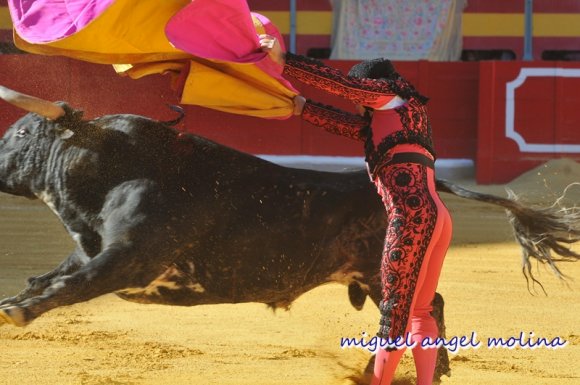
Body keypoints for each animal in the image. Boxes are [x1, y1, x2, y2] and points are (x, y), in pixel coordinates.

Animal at [0, 98, 576, 378]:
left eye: (23, 132)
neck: (113, 165)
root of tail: (411, 181)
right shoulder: (93, 247)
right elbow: (53, 274)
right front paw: (13, 301)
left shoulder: (130, 258)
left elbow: (72, 285)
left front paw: (20, 313)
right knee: (427, 306)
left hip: (387, 269)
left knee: (417, 309)